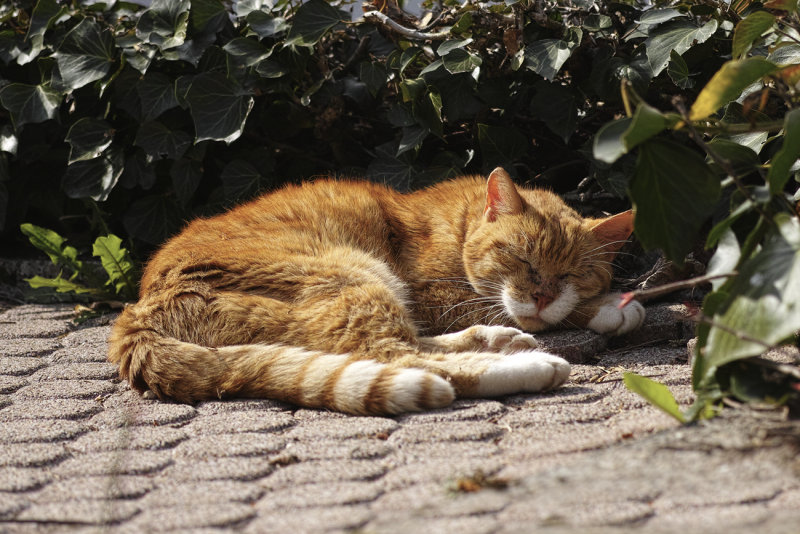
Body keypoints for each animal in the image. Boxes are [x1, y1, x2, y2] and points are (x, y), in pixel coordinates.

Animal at [108, 170, 644, 416]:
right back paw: (528, 364)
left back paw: (497, 341)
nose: (541, 296)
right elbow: (502, 308)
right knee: (402, 356)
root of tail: (135, 316)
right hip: (352, 274)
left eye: (572, 274)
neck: (461, 222)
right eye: (523, 260)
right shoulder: (437, 297)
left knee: (405, 346)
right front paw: (606, 308)